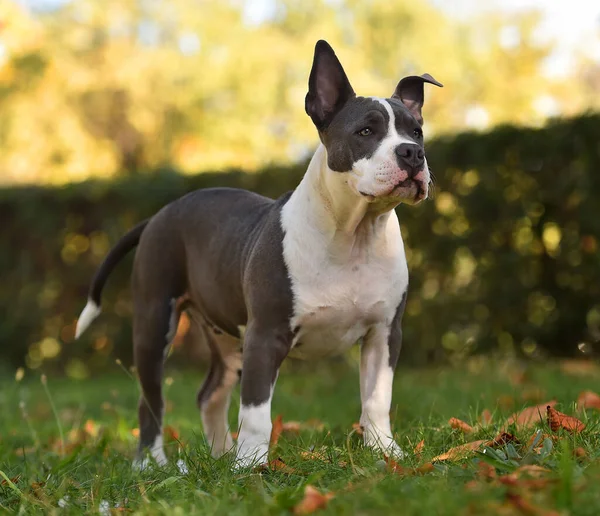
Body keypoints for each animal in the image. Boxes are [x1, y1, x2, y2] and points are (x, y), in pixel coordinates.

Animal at [74, 39, 440, 468]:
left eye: (417, 132)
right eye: (366, 131)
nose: (412, 153)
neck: (355, 236)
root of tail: (159, 214)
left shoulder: (383, 334)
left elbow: (377, 398)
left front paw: (385, 451)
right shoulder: (266, 335)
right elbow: (255, 411)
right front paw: (251, 465)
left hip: (226, 335)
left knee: (209, 394)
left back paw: (219, 457)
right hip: (154, 323)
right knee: (151, 401)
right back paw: (153, 463)